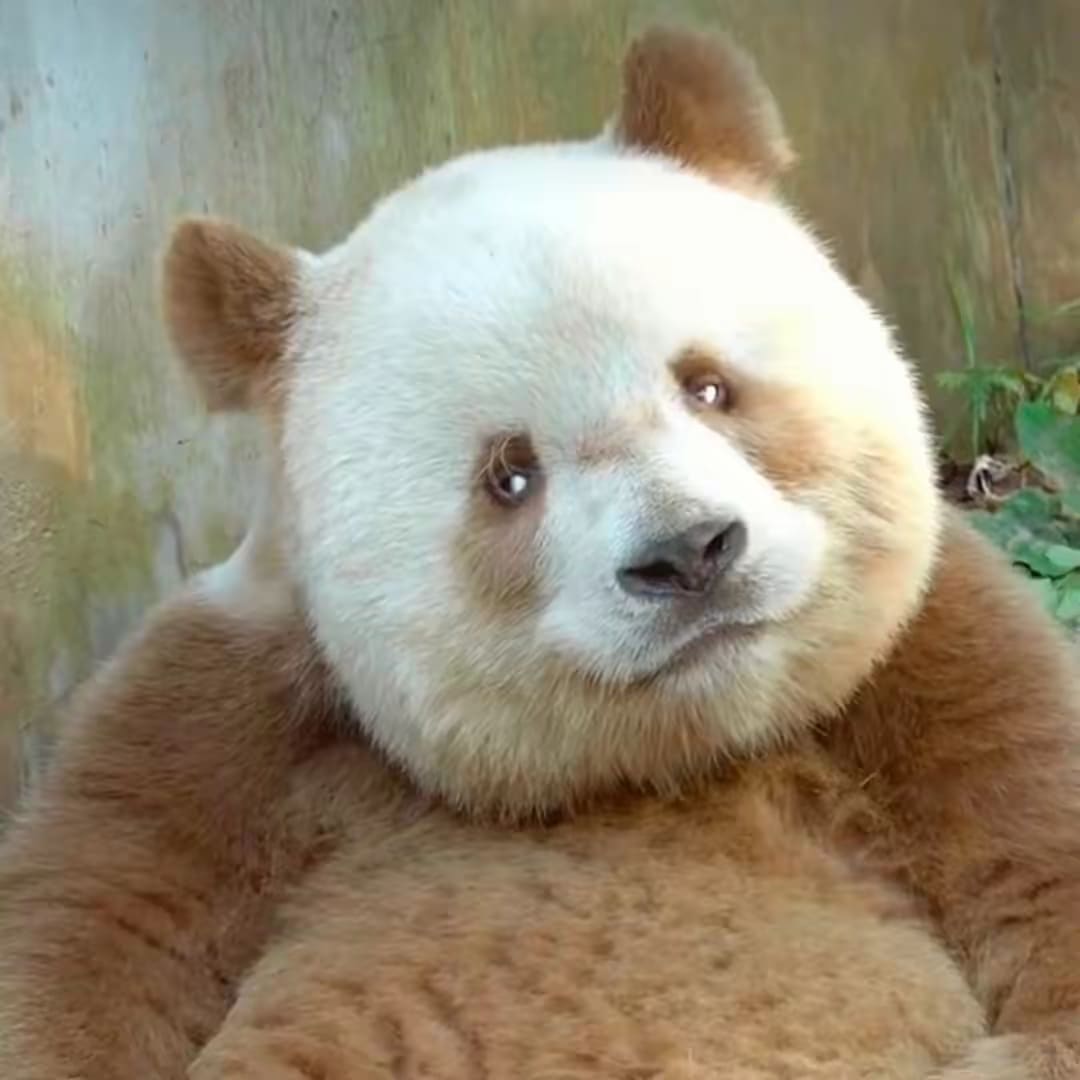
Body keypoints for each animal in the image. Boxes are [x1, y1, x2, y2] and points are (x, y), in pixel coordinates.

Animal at [2, 25, 1079, 1080]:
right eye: (510, 474)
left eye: (708, 386)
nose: (690, 555)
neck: (663, 762)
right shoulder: (220, 727)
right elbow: (90, 922)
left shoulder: (935, 670)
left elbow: (1033, 839)